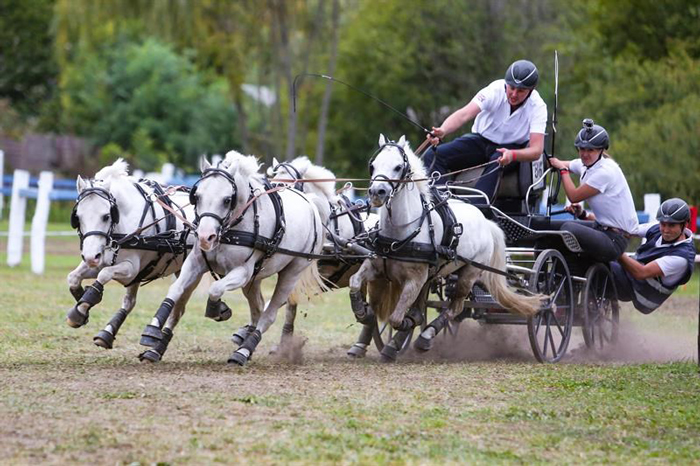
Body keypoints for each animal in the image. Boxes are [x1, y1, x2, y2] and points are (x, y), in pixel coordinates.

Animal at [67, 158, 196, 352]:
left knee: (177, 310)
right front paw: (81, 304)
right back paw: (107, 333)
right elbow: (73, 277)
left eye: (106, 216)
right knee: (130, 302)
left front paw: (85, 304)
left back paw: (155, 348)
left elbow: (104, 274)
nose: (90, 256)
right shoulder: (103, 261)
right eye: (78, 217)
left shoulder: (130, 269)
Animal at [142, 150, 328, 364]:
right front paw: (153, 330)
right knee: (258, 309)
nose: (205, 237)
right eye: (197, 196)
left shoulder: (242, 272)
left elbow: (215, 288)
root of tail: (310, 203)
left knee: (268, 315)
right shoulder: (195, 262)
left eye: (226, 199)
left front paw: (217, 309)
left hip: (291, 272)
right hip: (255, 279)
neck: (230, 228)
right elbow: (175, 290)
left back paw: (244, 351)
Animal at [348, 135, 544, 360]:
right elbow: (355, 283)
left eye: (398, 167)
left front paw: (404, 328)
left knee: (454, 308)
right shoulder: (376, 267)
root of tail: (487, 221)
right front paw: (363, 313)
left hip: (469, 273)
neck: (401, 230)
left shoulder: (415, 279)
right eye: (372, 166)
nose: (377, 193)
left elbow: (397, 318)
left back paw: (424, 337)